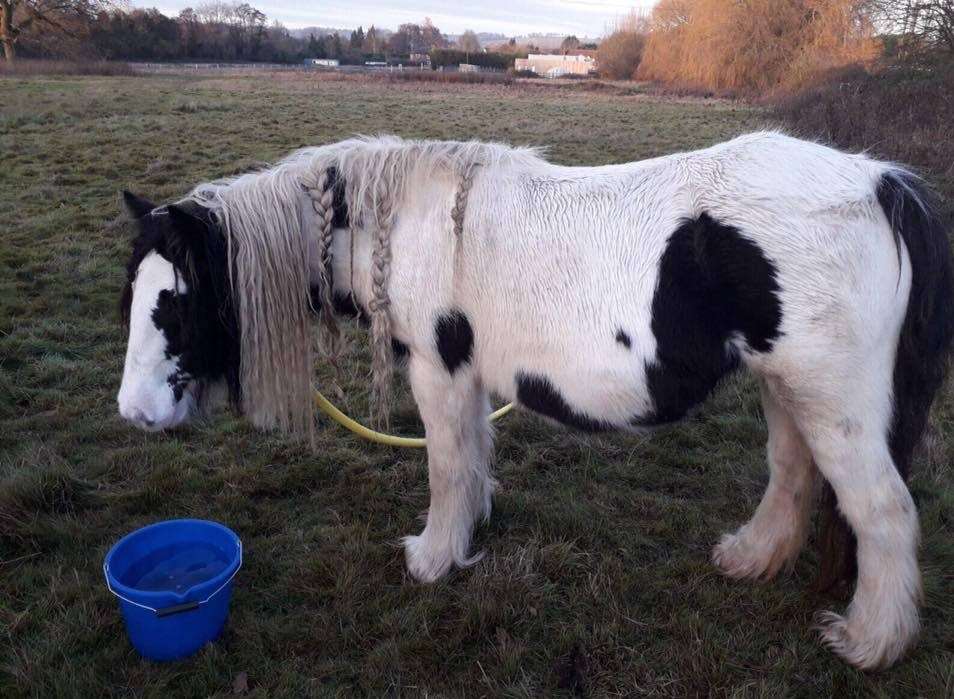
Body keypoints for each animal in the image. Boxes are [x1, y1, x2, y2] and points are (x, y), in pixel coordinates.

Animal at [115, 134, 948, 668]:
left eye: (175, 305)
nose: (134, 412)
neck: (402, 224)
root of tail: (881, 184)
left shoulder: (438, 371)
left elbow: (446, 465)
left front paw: (433, 558)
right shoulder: (470, 378)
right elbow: (473, 456)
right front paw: (470, 529)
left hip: (833, 400)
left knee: (882, 511)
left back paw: (871, 641)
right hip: (787, 387)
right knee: (792, 474)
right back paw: (751, 559)